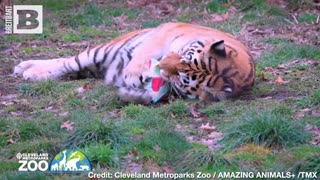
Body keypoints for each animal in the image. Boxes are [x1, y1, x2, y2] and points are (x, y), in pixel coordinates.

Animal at [13, 22, 255, 104]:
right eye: (185, 55)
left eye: (182, 78)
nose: (162, 65)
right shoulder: (168, 29)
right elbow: (146, 52)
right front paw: (132, 75)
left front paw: (130, 92)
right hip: (98, 53)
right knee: (66, 63)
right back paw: (26, 70)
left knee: (69, 69)